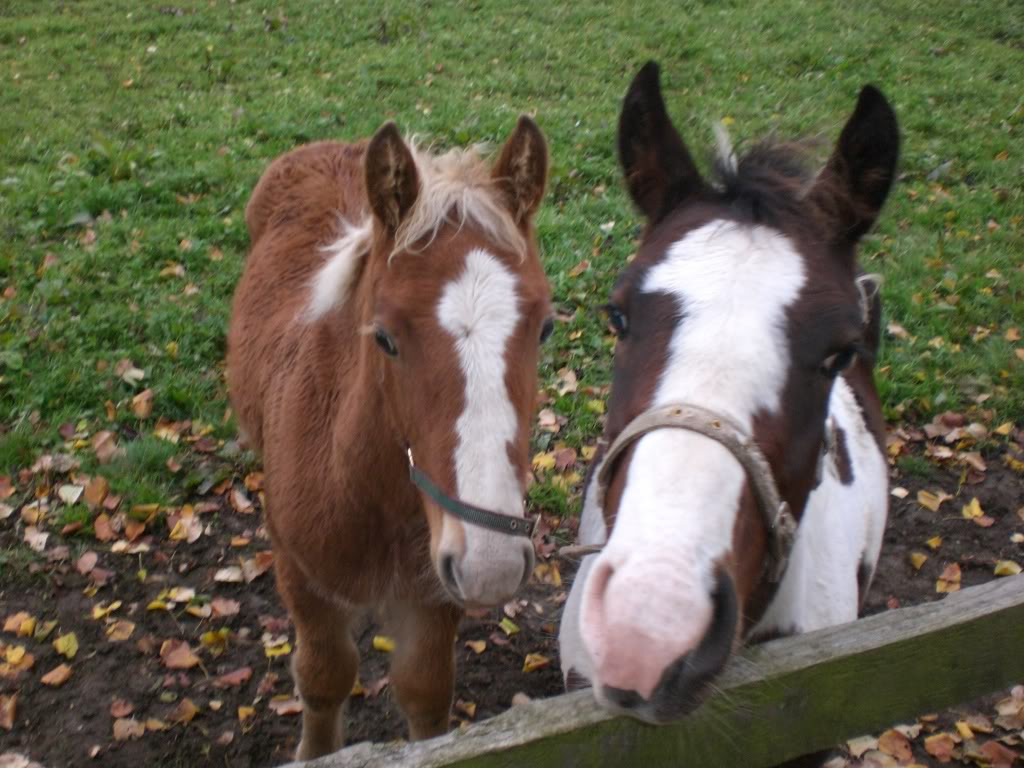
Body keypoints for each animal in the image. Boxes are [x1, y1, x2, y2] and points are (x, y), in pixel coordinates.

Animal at [229, 117, 557, 761]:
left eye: (546, 328)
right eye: (383, 337)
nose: (491, 563)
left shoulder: (433, 594)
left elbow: (424, 693)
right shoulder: (302, 578)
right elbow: (323, 678)